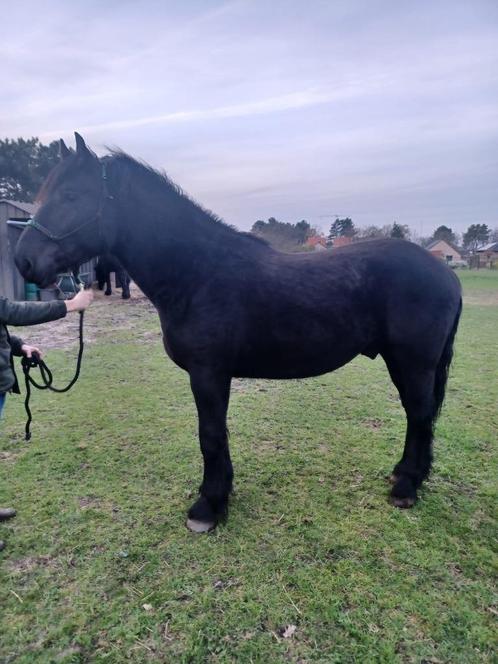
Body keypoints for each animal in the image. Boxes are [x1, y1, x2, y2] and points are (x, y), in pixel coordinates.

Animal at [13, 135, 462, 536]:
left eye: (71, 195)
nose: (23, 261)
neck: (198, 272)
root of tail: (446, 272)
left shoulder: (208, 373)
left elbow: (210, 435)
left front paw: (208, 507)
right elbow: (217, 435)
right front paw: (219, 495)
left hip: (413, 362)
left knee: (419, 415)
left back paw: (406, 488)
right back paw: (404, 477)